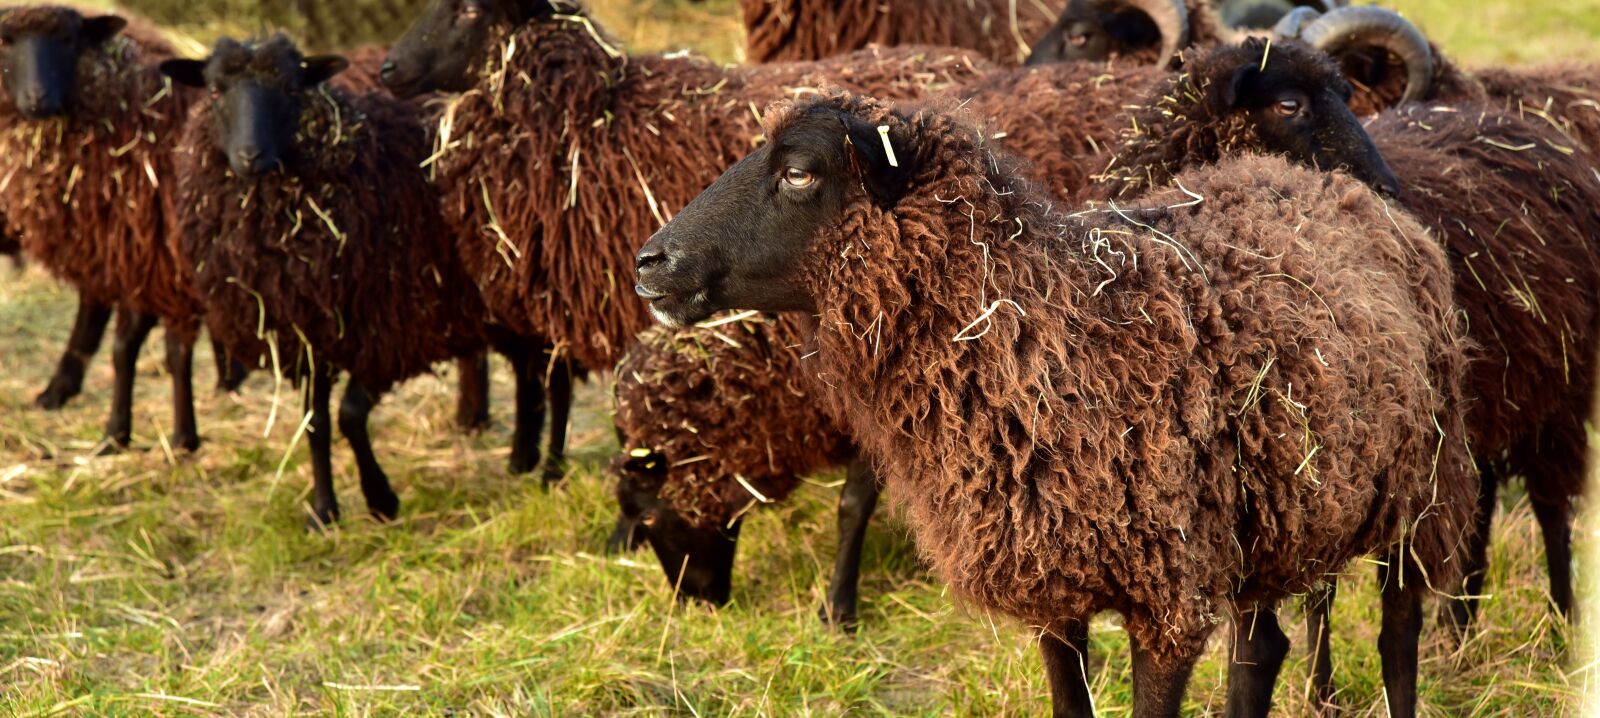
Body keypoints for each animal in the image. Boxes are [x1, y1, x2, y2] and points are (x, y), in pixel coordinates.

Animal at [0, 5, 209, 451]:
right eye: (5, 41)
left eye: (68, 40)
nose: (37, 98)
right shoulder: (134, 262)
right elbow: (125, 346)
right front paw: (118, 432)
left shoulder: (160, 270)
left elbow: (166, 351)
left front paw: (180, 436)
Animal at [161, 34, 490, 526]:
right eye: (215, 90)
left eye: (290, 88)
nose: (249, 156)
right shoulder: (309, 333)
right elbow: (315, 423)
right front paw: (324, 510)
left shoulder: (385, 330)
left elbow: (350, 415)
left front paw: (380, 498)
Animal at [635, 90, 1477, 718]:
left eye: (801, 173)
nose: (651, 261)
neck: (1042, 323)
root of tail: (1339, 187)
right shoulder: (1052, 582)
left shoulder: (1168, 600)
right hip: (1266, 518)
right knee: (1260, 651)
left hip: (1421, 483)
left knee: (1398, 636)